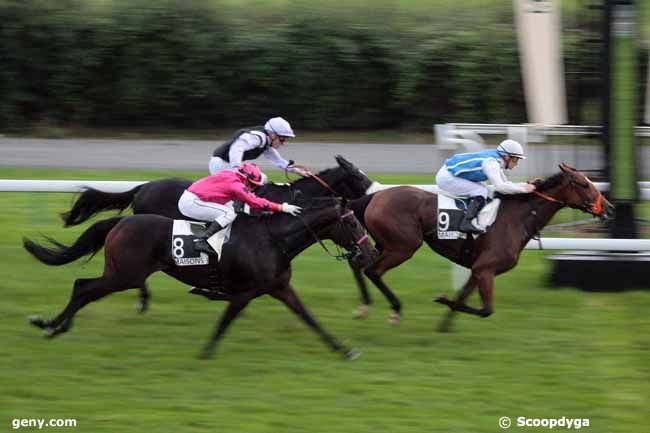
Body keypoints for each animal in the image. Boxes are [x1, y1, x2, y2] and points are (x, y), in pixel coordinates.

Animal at [25, 197, 378, 358]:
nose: (370, 253)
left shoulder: (279, 287)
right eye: (353, 223)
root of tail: (120, 222)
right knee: (83, 288)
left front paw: (343, 349)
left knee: (83, 289)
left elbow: (309, 318)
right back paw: (51, 326)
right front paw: (206, 353)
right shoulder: (246, 291)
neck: (273, 239)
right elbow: (225, 321)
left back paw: (54, 326)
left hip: (122, 274)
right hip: (124, 275)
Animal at [346, 164, 612, 326]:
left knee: (357, 263)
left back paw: (363, 307)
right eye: (584, 184)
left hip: (384, 244)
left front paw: (444, 326)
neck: (517, 218)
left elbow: (463, 299)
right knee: (373, 271)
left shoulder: (478, 269)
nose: (609, 208)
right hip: (403, 247)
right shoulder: (485, 269)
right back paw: (395, 310)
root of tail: (375, 196)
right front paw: (443, 300)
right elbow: (485, 310)